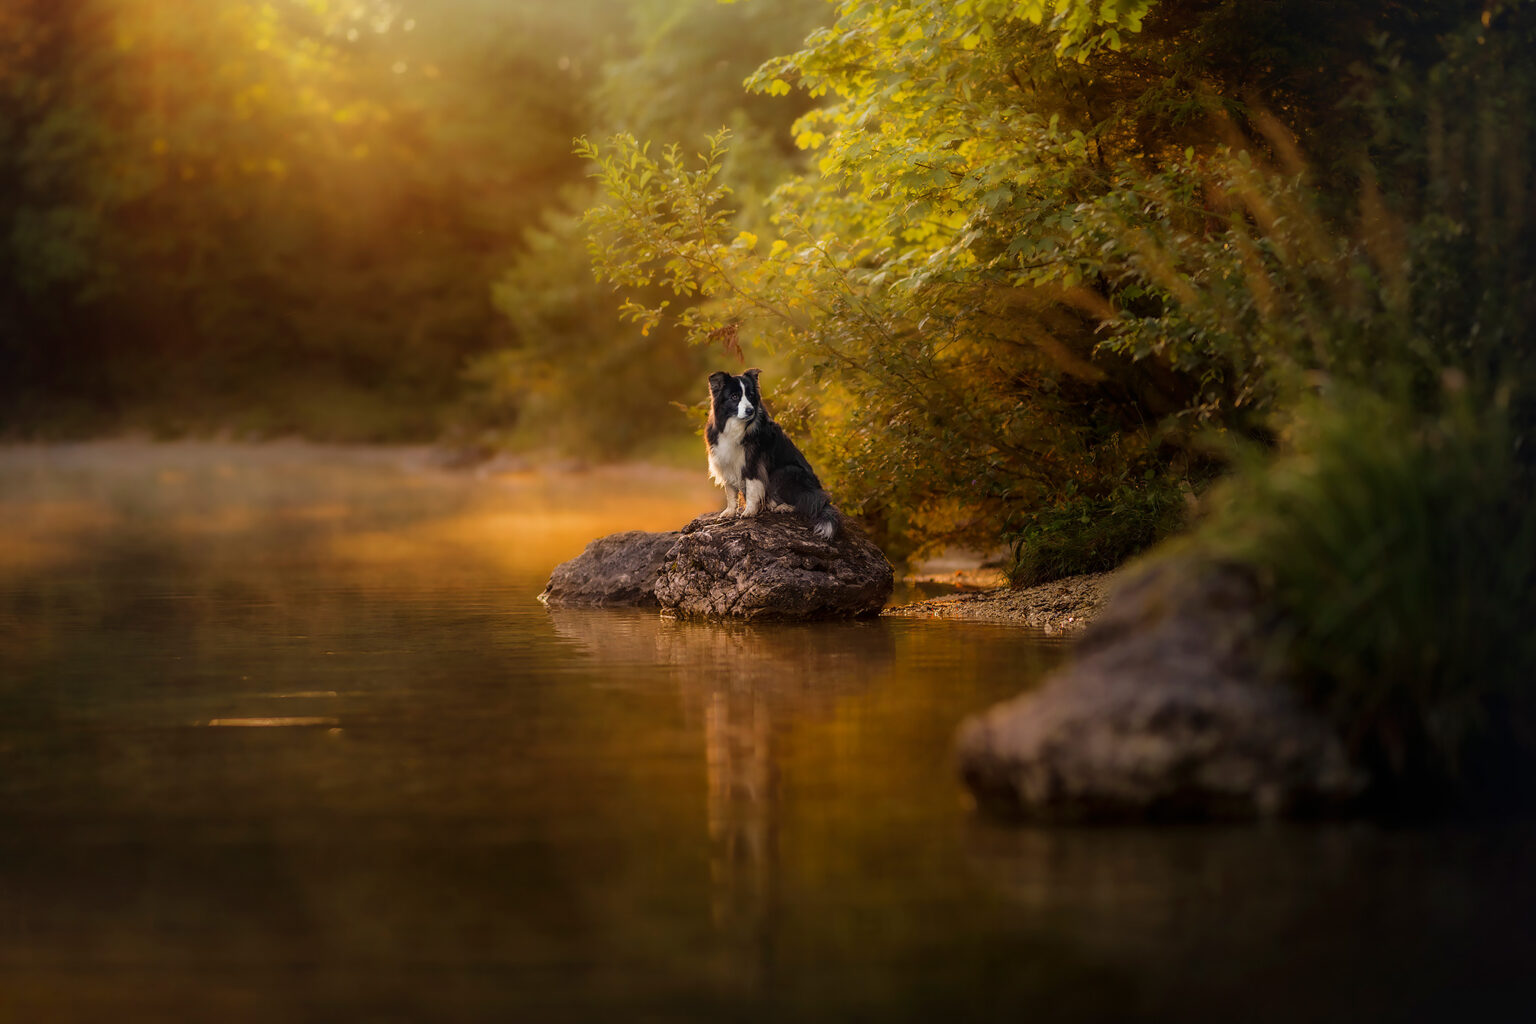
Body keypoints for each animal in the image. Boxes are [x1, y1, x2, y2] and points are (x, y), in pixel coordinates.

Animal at [706, 369, 841, 543]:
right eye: (734, 396)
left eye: (751, 395)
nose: (750, 410)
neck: (734, 426)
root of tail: (817, 490)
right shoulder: (725, 462)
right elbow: (730, 491)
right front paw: (729, 511)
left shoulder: (752, 462)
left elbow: (752, 488)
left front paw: (749, 511)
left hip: (786, 471)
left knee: (804, 501)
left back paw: (783, 506)